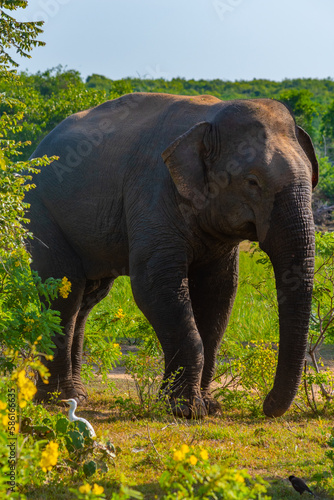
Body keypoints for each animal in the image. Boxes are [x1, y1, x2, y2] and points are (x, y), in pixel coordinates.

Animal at [26, 93, 318, 418]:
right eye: (252, 181)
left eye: (312, 178)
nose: (266, 405)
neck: (211, 118)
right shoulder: (154, 193)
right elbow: (155, 286)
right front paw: (186, 410)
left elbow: (219, 293)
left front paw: (207, 407)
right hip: (40, 212)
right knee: (64, 291)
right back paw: (59, 400)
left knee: (88, 298)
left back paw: (78, 396)